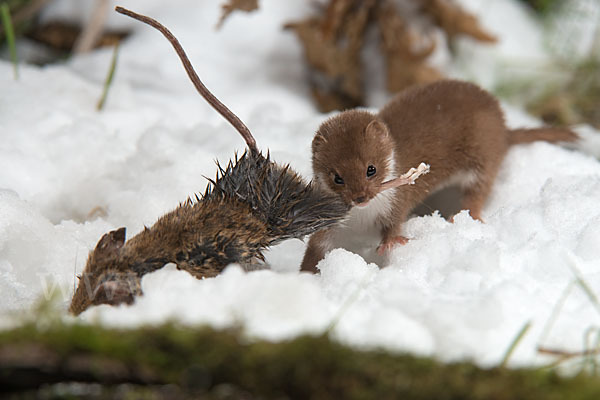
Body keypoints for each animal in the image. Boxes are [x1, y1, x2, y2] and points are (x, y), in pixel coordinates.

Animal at [302, 79, 580, 272]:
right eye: (337, 177)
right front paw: (306, 275)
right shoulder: (328, 225)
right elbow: (317, 248)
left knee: (479, 190)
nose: (360, 197)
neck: (362, 219)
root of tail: (503, 129)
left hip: (482, 158)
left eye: (371, 168)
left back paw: (466, 215)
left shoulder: (397, 200)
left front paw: (391, 243)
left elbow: (395, 222)